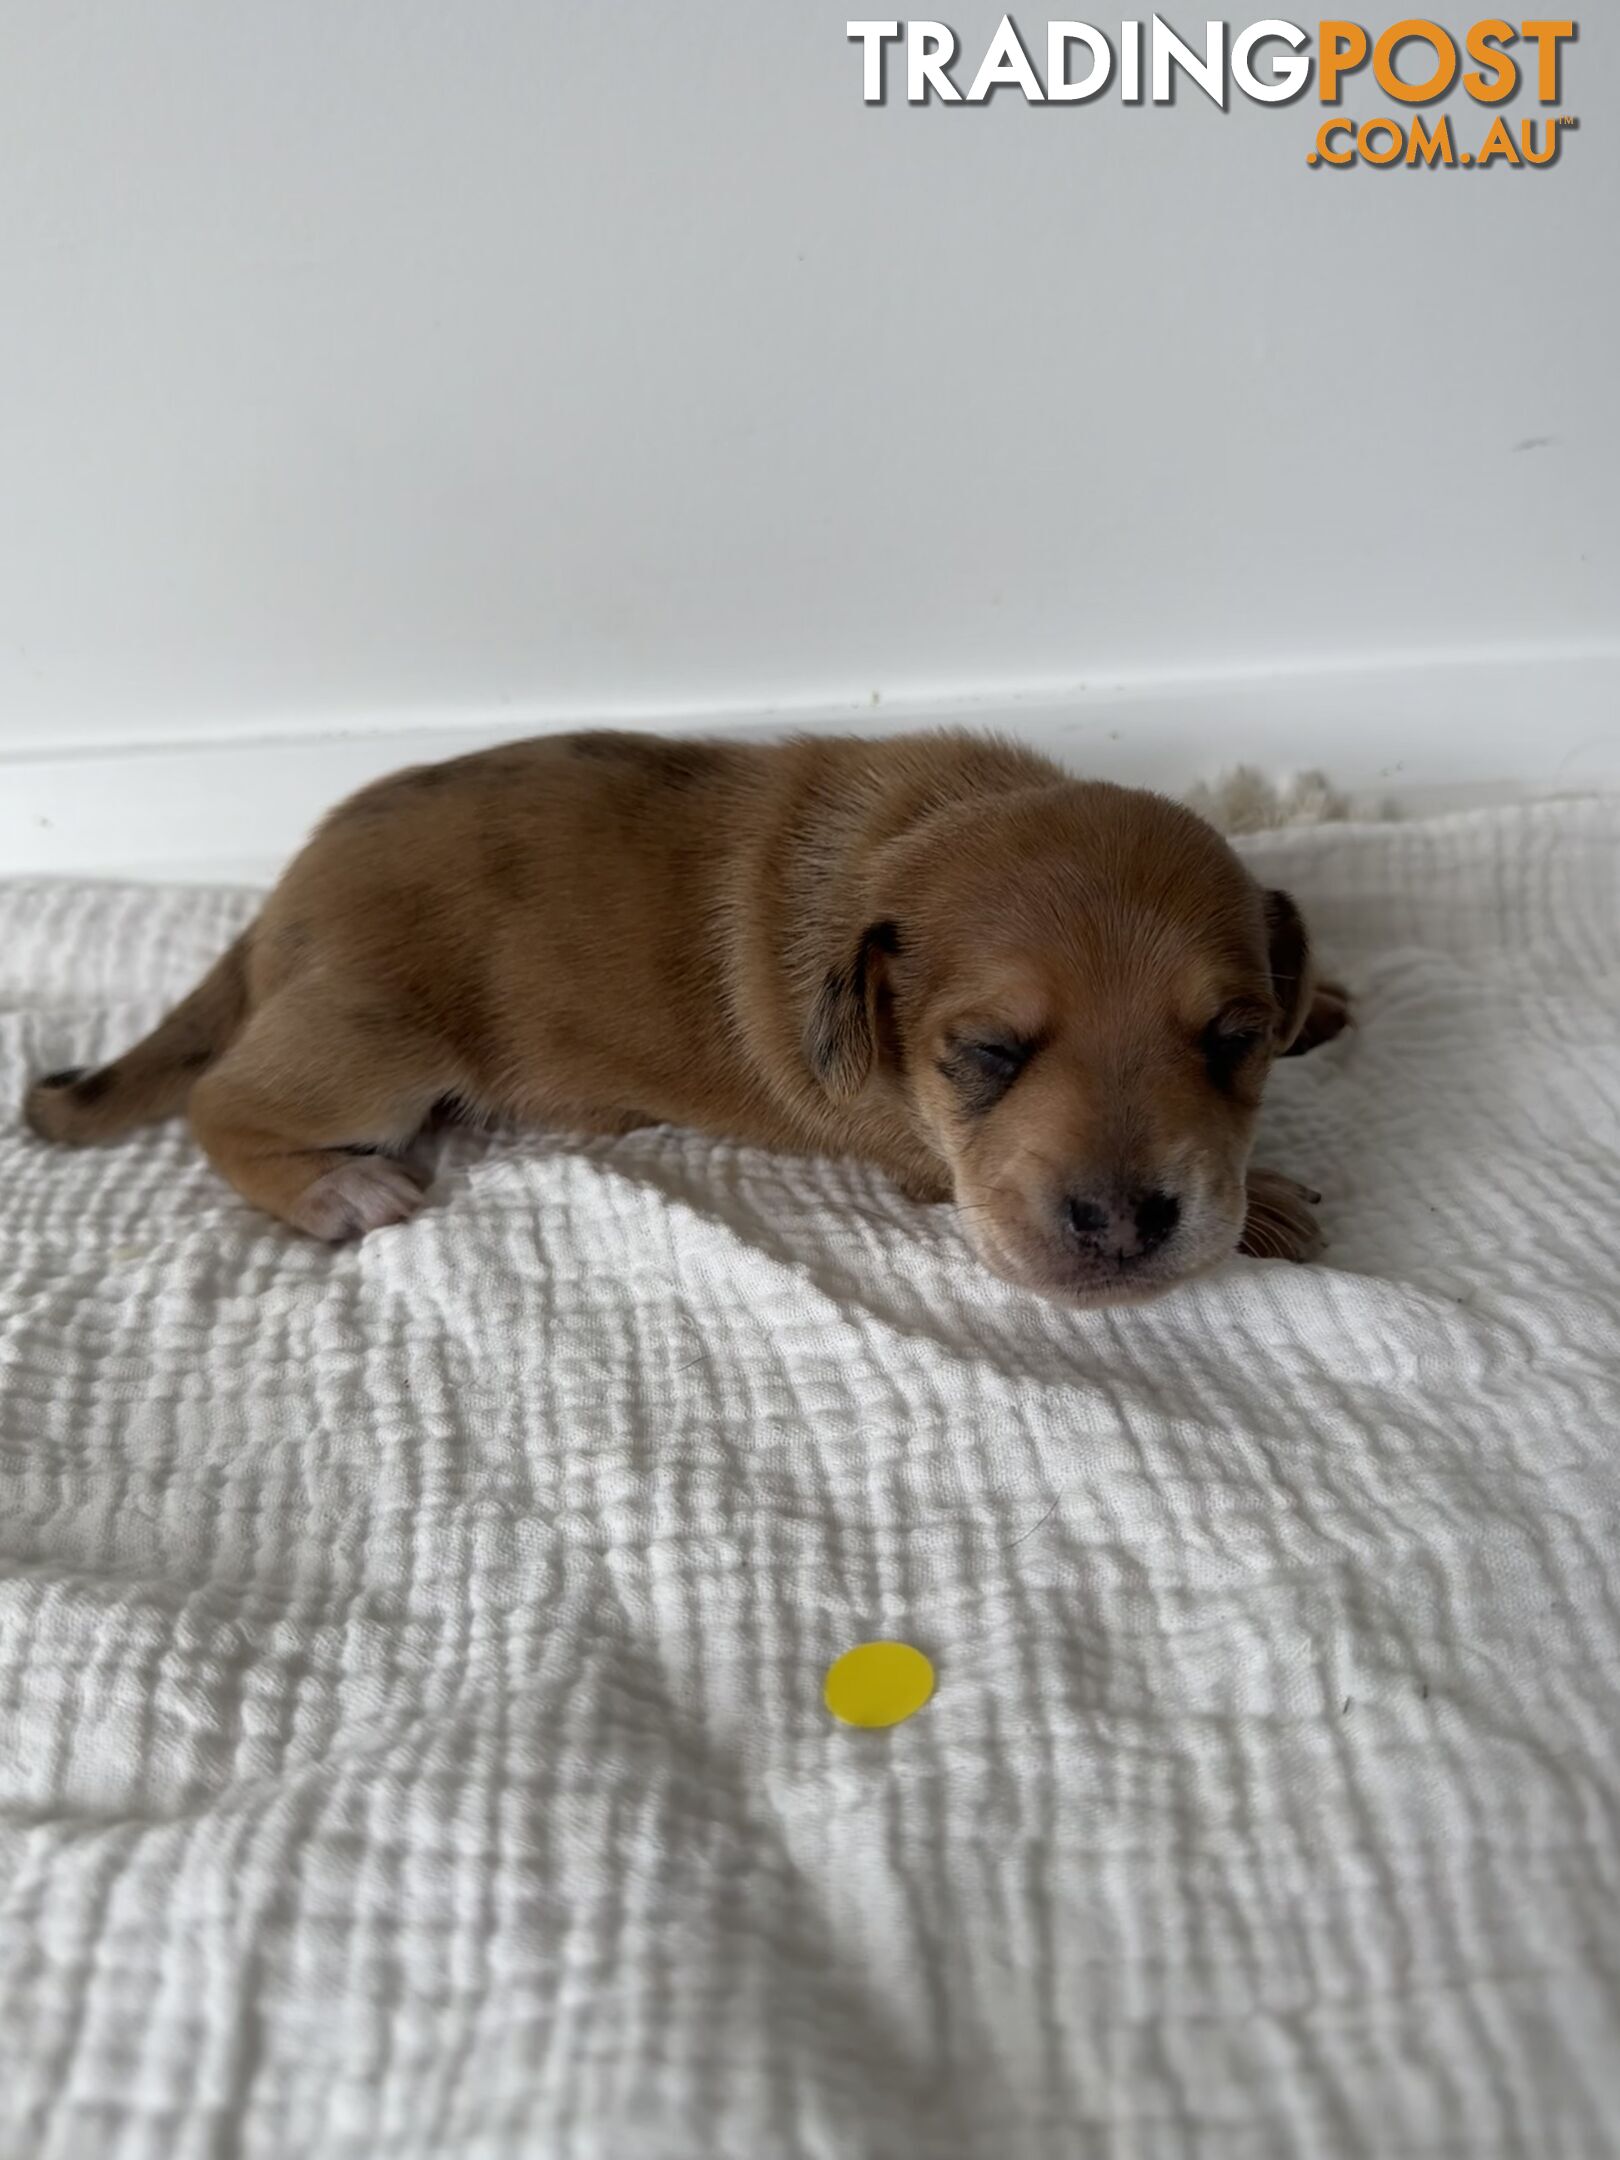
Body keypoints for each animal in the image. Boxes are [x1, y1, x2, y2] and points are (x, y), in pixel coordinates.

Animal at [22, 730, 1347, 1296]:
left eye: (1233, 1040)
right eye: (984, 1052)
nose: (1123, 1225)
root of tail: (280, 899)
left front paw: (1319, 997)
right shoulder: (921, 1154)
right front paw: (1275, 1202)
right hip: (371, 1043)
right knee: (222, 1101)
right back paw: (333, 1190)